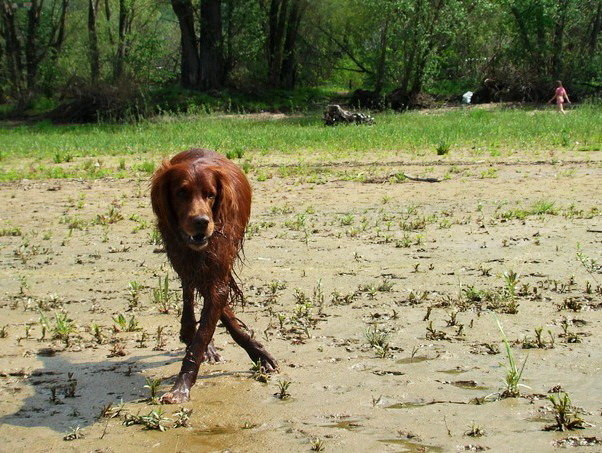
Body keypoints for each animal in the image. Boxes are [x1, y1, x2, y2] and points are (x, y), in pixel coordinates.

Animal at [152, 148, 278, 402]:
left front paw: (182, 385)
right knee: (189, 291)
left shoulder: (217, 265)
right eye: (181, 192)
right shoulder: (186, 258)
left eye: (210, 195)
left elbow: (207, 327)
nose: (201, 222)